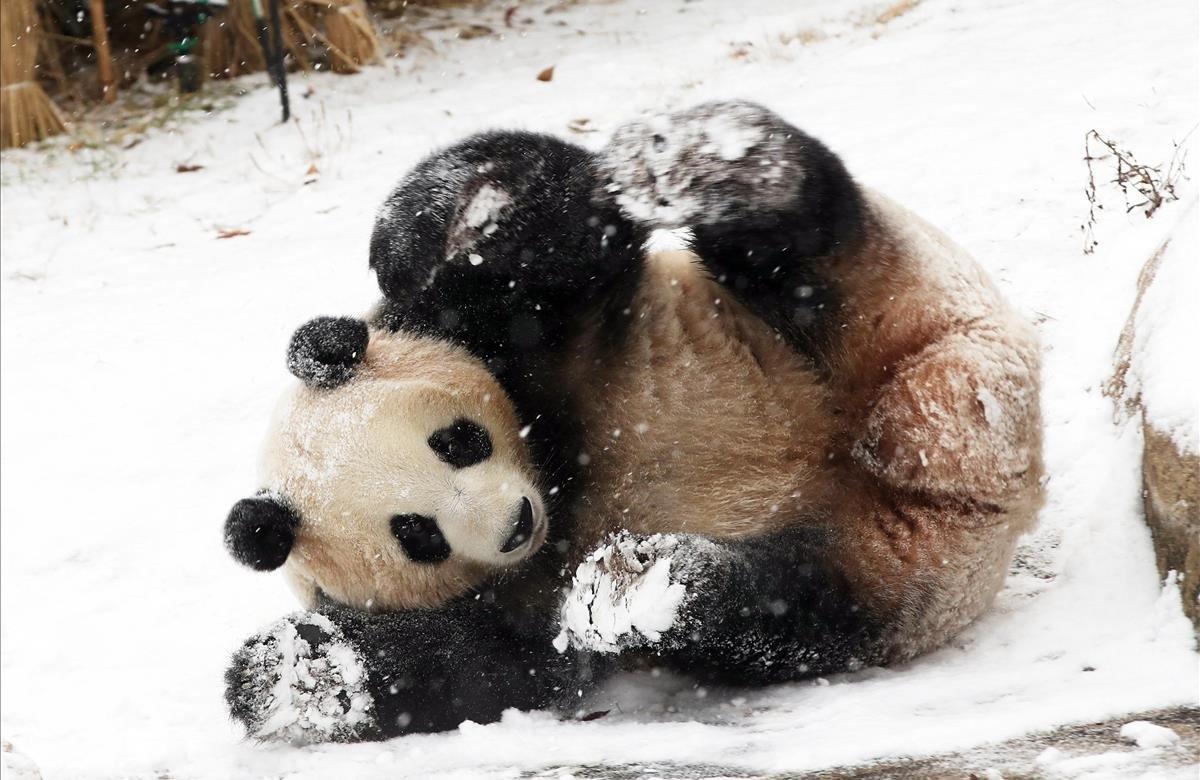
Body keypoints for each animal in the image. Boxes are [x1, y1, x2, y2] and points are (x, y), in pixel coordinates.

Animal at [223, 102, 1041, 739]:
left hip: (876, 302)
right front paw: (289, 674)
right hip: (894, 567)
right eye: (417, 534)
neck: (556, 466)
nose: (513, 525)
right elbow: (487, 668)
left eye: (456, 440)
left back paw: (712, 164)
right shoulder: (499, 596)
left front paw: (453, 219)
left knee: (808, 237)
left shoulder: (526, 330)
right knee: (794, 611)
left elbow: (564, 224)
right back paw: (650, 586)